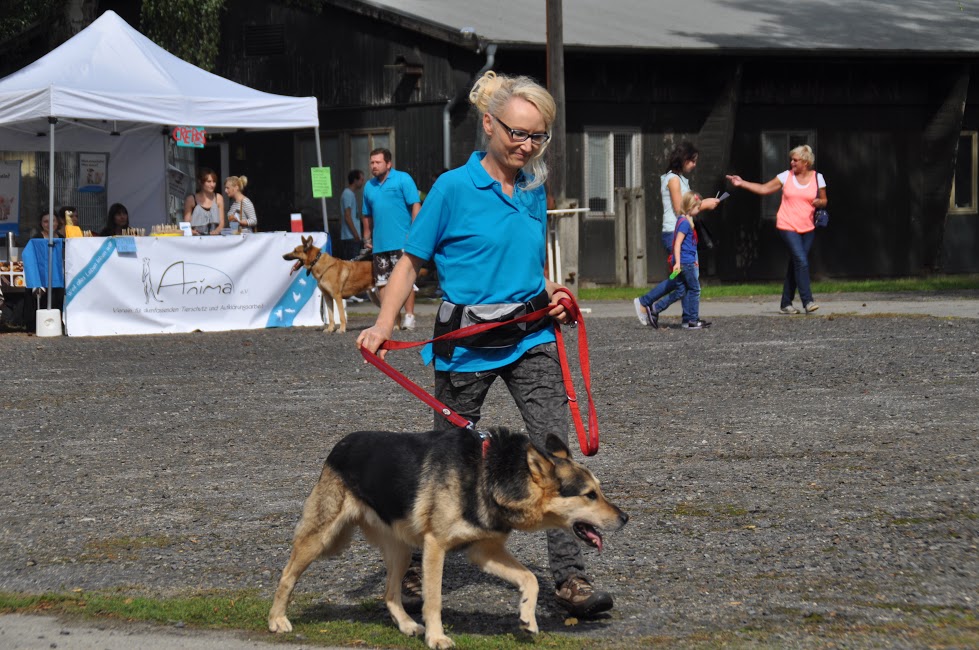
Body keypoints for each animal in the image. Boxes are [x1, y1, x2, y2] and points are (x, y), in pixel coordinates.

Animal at [268, 427, 628, 650]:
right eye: (589, 495)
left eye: (600, 490)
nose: (625, 518)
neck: (491, 473)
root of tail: (341, 444)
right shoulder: (435, 547)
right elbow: (434, 599)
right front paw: (437, 638)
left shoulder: (484, 550)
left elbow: (530, 579)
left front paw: (527, 617)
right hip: (320, 537)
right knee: (286, 575)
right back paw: (277, 619)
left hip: (401, 551)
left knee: (389, 593)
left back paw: (407, 625)